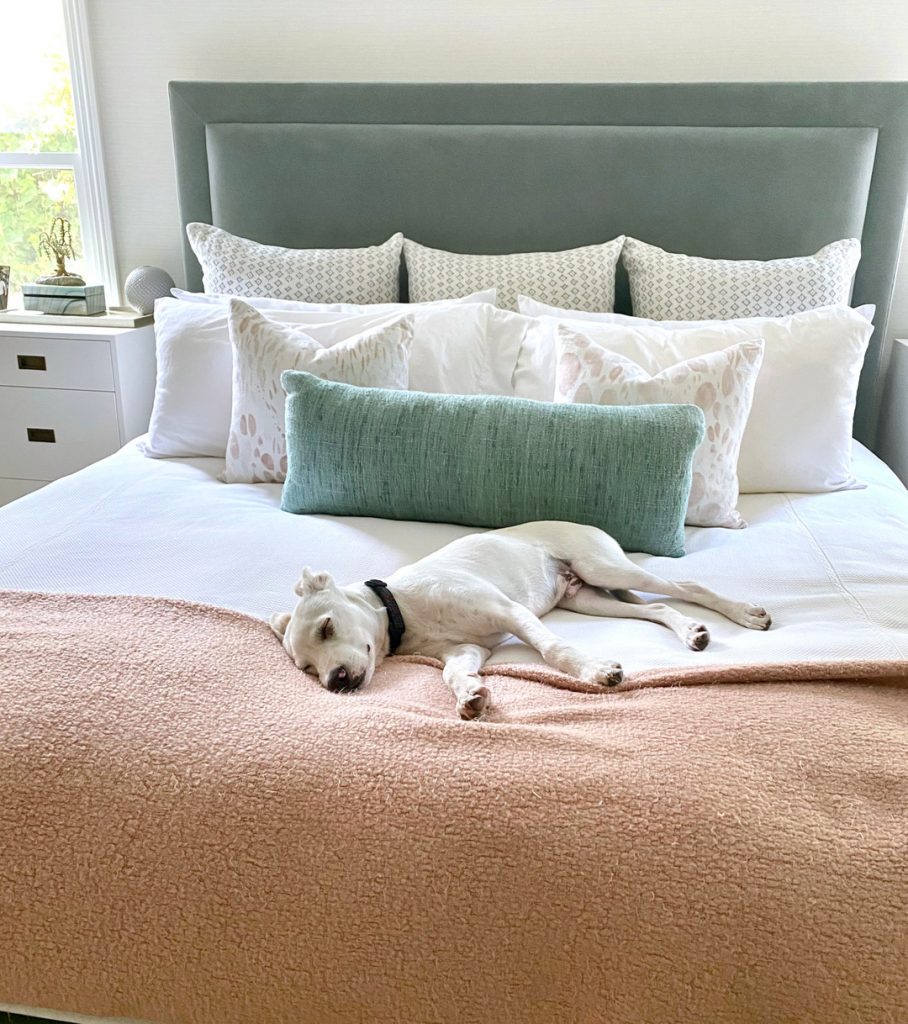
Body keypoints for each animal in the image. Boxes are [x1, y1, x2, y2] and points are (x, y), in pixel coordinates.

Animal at [272, 520, 773, 720]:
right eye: (307, 669)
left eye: (327, 627)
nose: (335, 682)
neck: (403, 608)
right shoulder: (465, 650)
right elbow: (453, 675)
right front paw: (470, 696)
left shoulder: (510, 612)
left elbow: (553, 649)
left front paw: (595, 671)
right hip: (588, 598)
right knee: (657, 608)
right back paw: (691, 632)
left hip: (605, 569)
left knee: (686, 587)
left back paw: (745, 613)